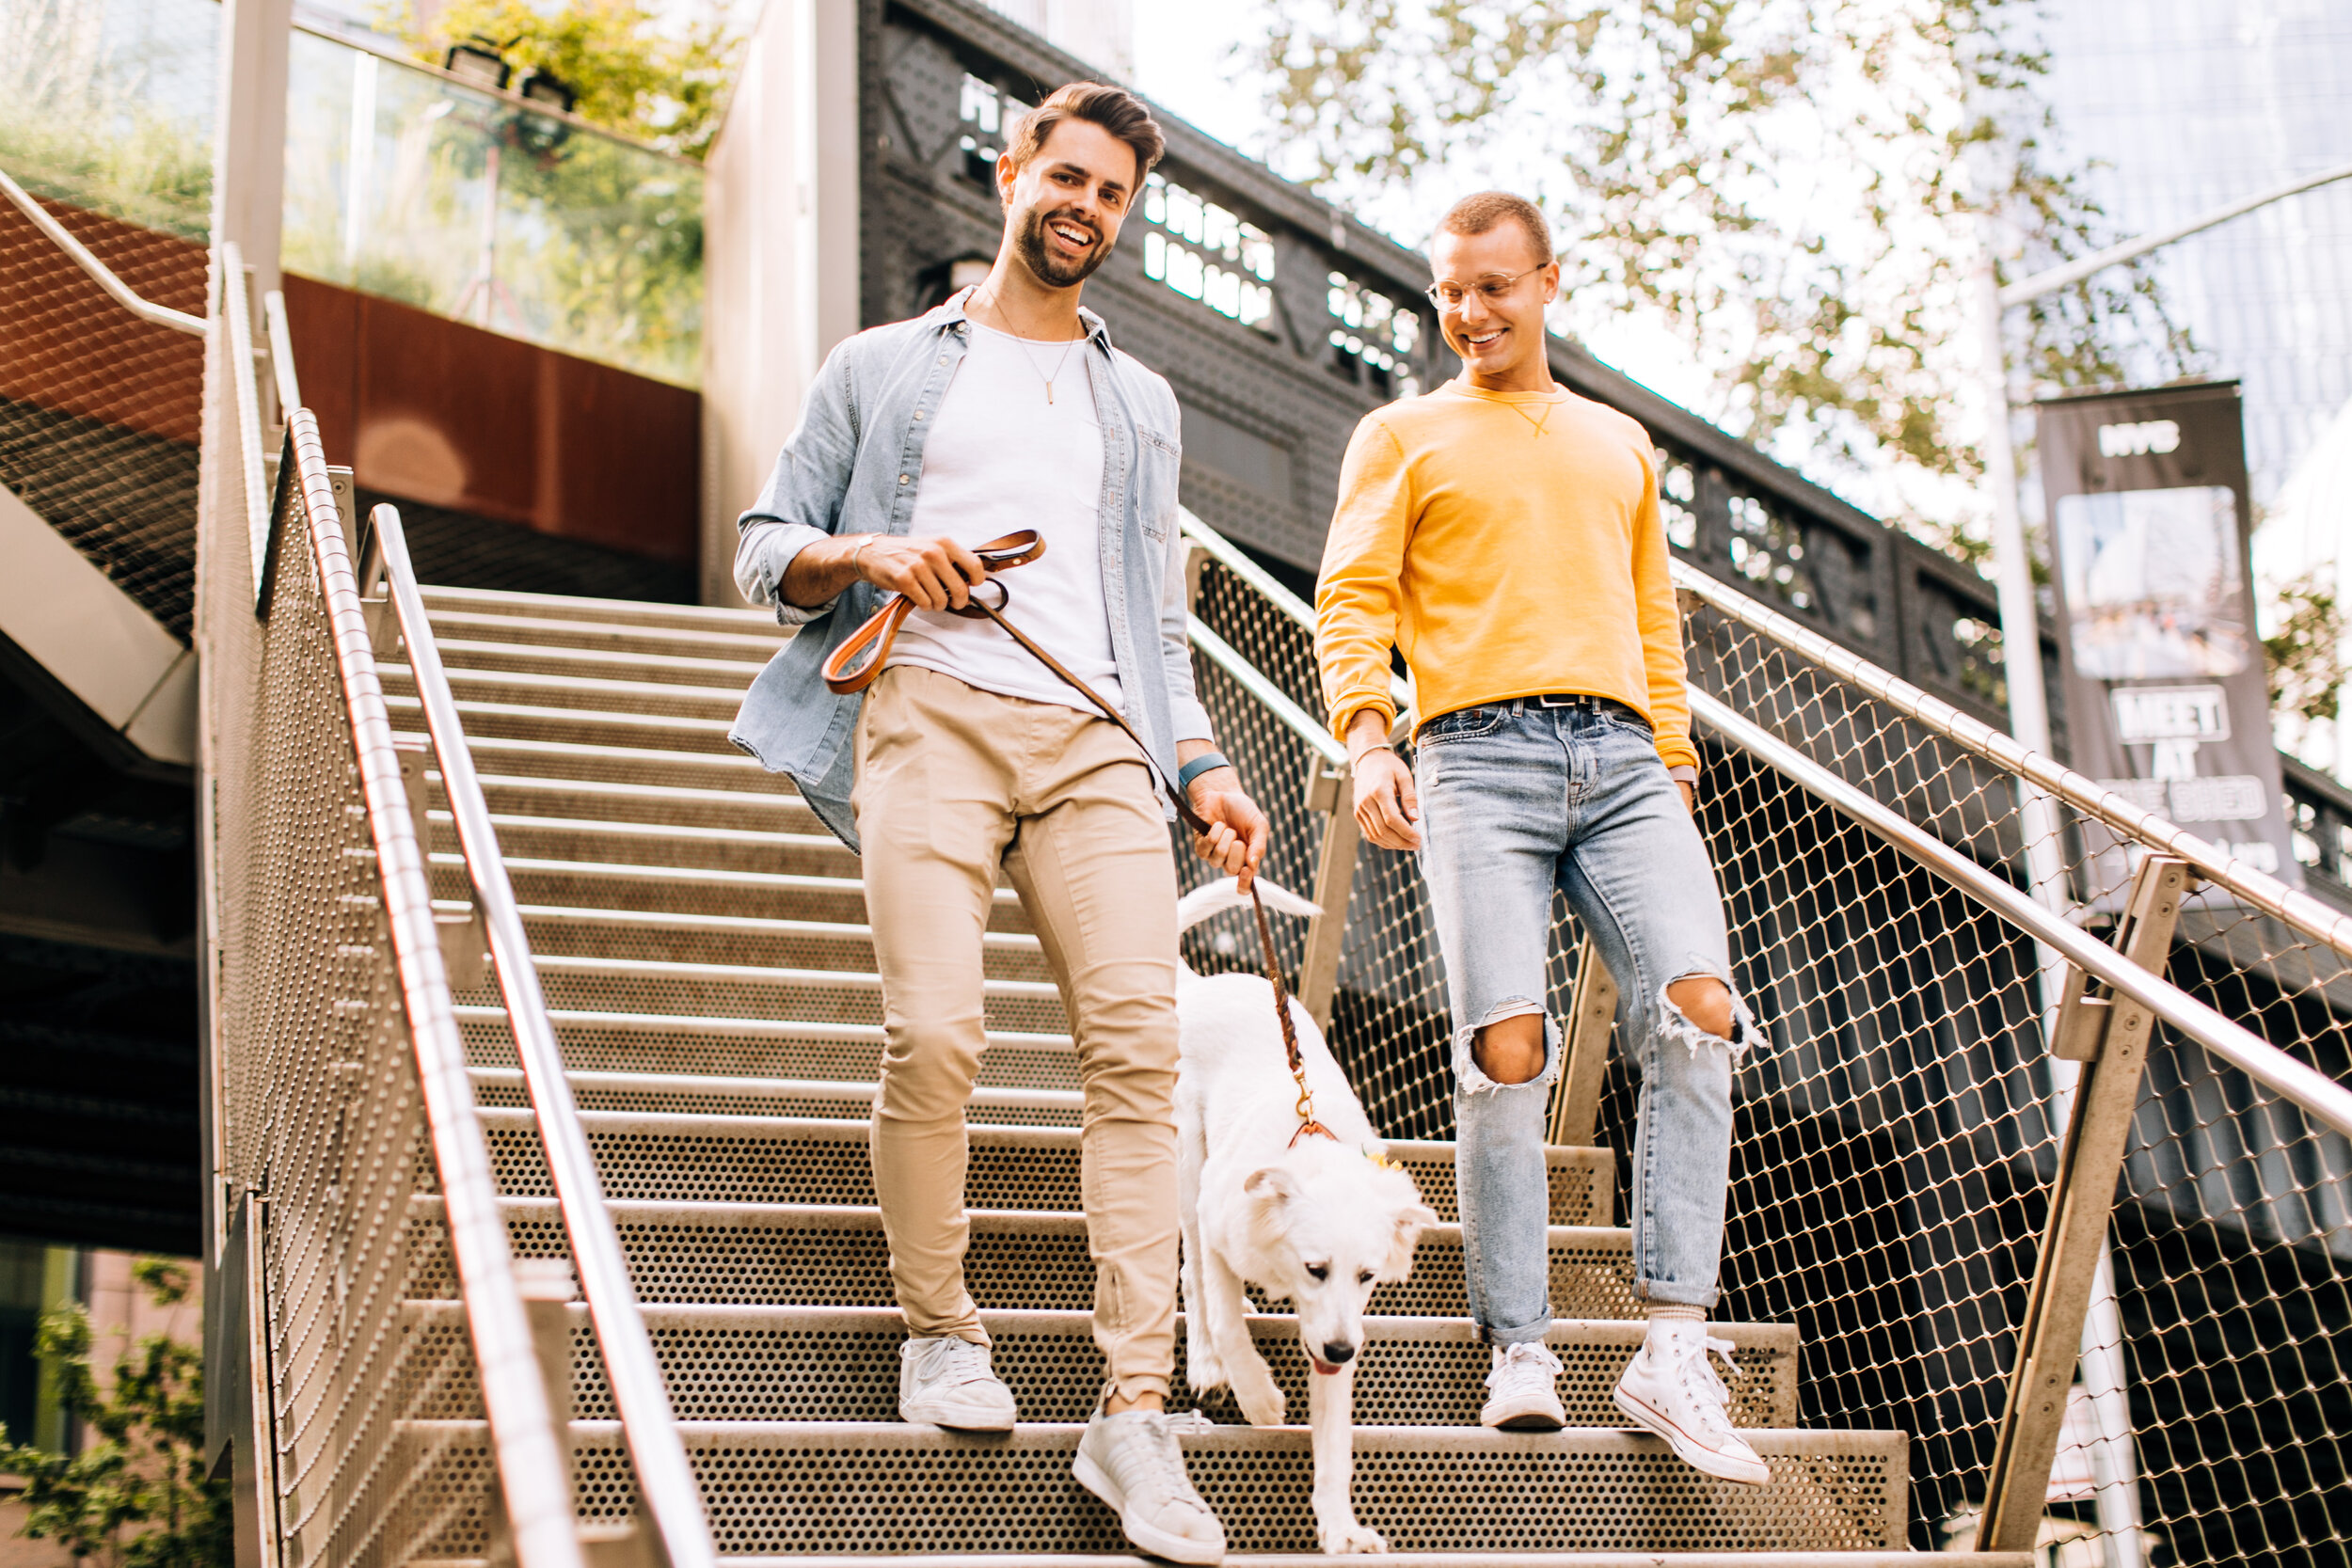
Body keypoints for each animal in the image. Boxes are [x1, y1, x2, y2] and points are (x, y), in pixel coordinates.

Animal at [1171, 879, 1430, 1551]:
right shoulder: (1217, 1219)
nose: (1341, 1350)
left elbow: (1335, 1442)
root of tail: (1201, 982)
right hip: (1187, 1159)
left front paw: (1341, 1529)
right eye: (1315, 1268)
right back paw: (1205, 1359)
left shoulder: (1335, 1331)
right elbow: (1225, 1318)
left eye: (1367, 1276)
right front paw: (1259, 1399)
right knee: (1193, 1278)